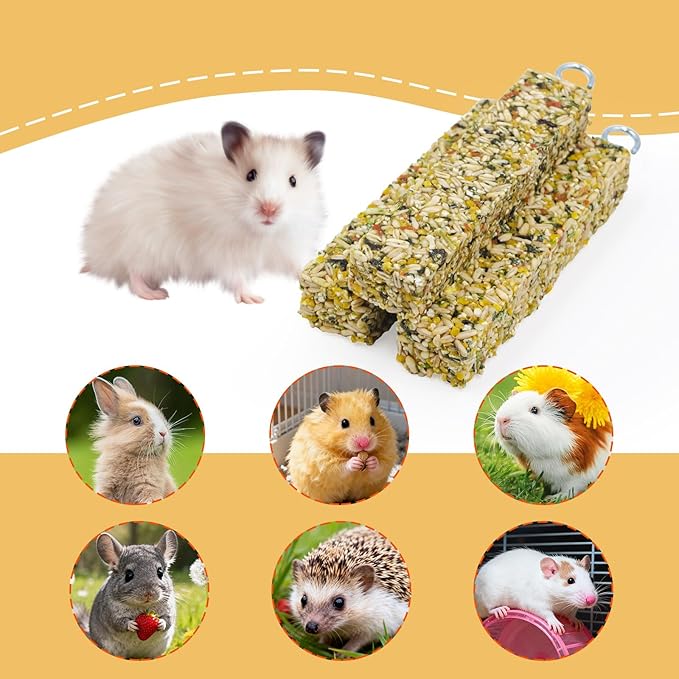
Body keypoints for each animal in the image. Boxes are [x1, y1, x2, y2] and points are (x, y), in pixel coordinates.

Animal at [81, 121, 326, 303]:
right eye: (250, 175)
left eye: (293, 181)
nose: (269, 209)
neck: (261, 233)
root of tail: (95, 252)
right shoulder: (220, 250)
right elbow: (236, 276)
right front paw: (254, 298)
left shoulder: (288, 245)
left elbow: (297, 264)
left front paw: (312, 276)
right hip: (142, 244)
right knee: (133, 273)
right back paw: (156, 294)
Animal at [88, 530, 177, 659]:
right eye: (128, 575)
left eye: (160, 572)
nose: (149, 593)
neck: (143, 607)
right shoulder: (111, 613)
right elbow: (119, 623)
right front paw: (132, 625)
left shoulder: (170, 609)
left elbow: (168, 620)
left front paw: (161, 623)